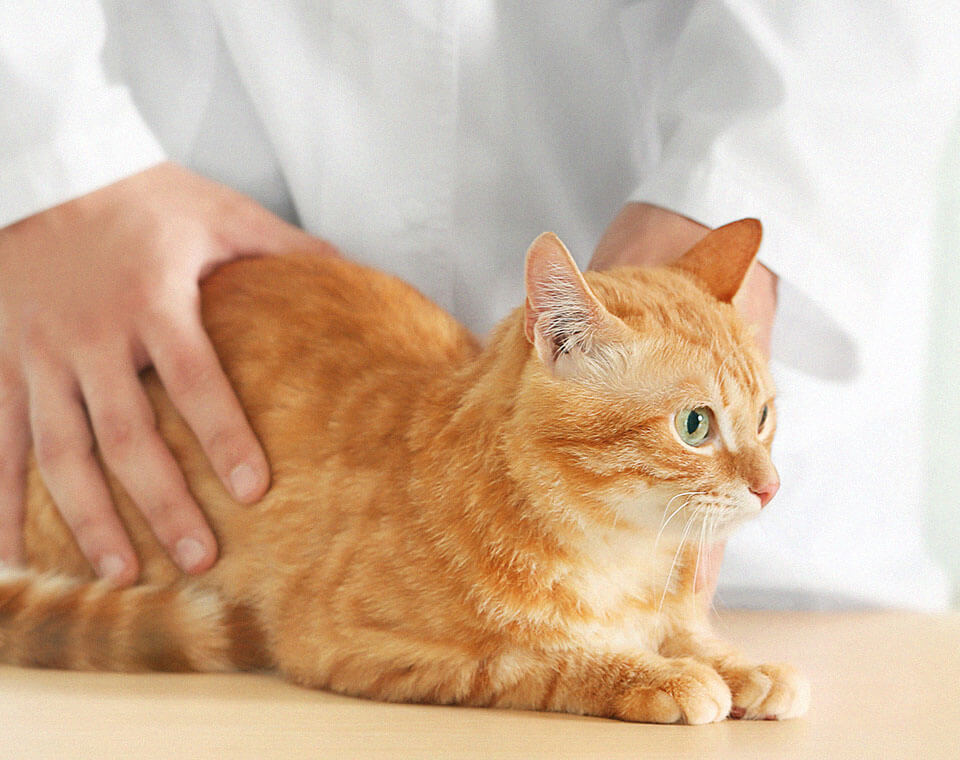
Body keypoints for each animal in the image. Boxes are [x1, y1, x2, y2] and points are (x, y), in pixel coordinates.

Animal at [0, 220, 808, 724]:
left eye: (766, 416)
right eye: (695, 425)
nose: (769, 487)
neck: (616, 554)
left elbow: (685, 632)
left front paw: (740, 665)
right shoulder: (359, 644)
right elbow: (536, 657)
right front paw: (655, 675)